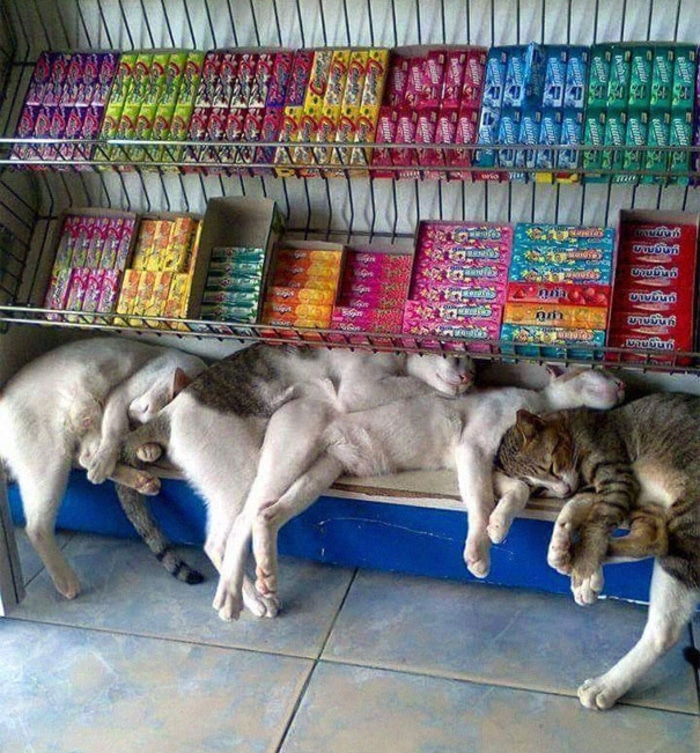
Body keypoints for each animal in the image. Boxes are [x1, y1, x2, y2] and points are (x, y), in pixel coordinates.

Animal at [0, 338, 206, 596]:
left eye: (141, 424)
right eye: (141, 414)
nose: (133, 419)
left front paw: (146, 452)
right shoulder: (121, 396)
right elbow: (113, 435)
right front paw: (117, 458)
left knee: (83, 461)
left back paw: (143, 481)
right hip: (50, 460)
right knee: (36, 527)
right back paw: (68, 584)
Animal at [124, 340, 476, 616]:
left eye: (474, 363)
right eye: (455, 355)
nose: (469, 377)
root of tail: (168, 413)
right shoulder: (361, 389)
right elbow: (415, 385)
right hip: (242, 476)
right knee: (222, 540)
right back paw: (250, 599)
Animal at [211, 368, 628, 620]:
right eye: (601, 372)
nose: (625, 384)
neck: (537, 403)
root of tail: (286, 406)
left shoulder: (490, 467)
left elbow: (514, 494)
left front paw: (498, 527)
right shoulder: (472, 450)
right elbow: (479, 501)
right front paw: (478, 553)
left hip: (320, 472)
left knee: (266, 516)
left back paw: (266, 576)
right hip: (289, 459)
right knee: (237, 525)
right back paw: (237, 598)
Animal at [494, 394, 700, 712]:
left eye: (550, 466)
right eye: (538, 491)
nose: (560, 488)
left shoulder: (616, 475)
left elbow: (598, 517)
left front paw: (585, 563)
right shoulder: (614, 489)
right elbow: (580, 507)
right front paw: (563, 542)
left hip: (689, 522)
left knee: (664, 631)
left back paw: (608, 683)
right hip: (654, 509)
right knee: (654, 539)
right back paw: (574, 558)